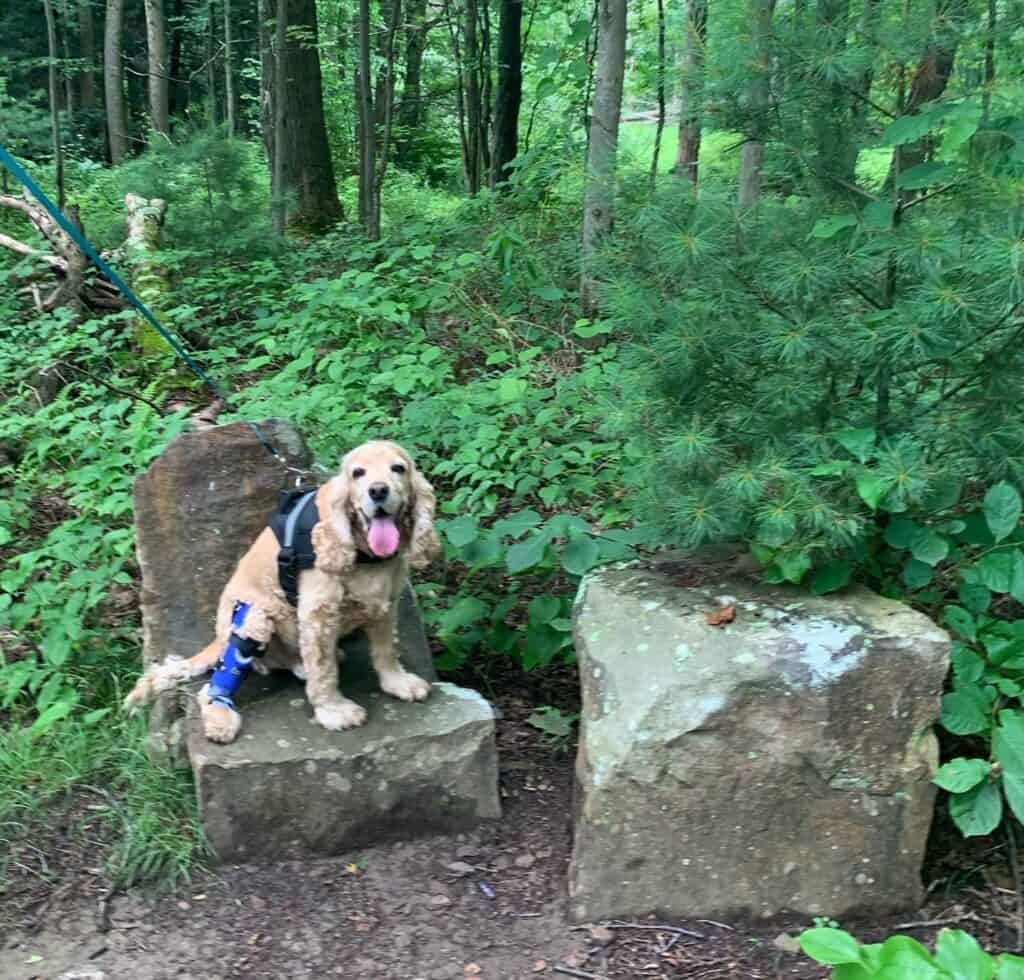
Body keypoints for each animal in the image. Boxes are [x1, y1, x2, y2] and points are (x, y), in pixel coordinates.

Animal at [122, 438, 440, 741]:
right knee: (212, 687)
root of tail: (218, 638)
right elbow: (323, 670)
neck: (365, 556)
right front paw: (334, 711)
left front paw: (398, 683)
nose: (378, 491)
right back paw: (222, 719)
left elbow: (386, 649)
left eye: (398, 468)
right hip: (253, 618)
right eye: (357, 473)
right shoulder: (317, 614)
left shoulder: (385, 602)